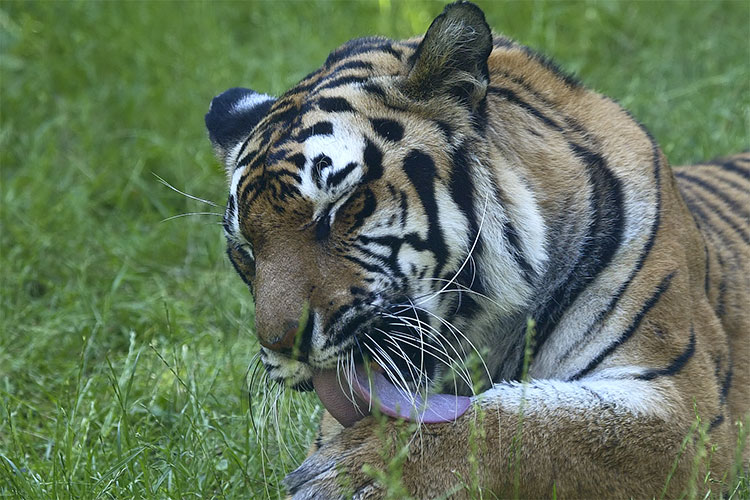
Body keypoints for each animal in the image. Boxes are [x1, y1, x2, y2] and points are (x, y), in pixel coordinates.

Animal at [203, 1, 748, 498]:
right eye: (246, 251)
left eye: (341, 206)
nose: (282, 344)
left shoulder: (684, 410)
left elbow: (528, 419)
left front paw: (356, 471)